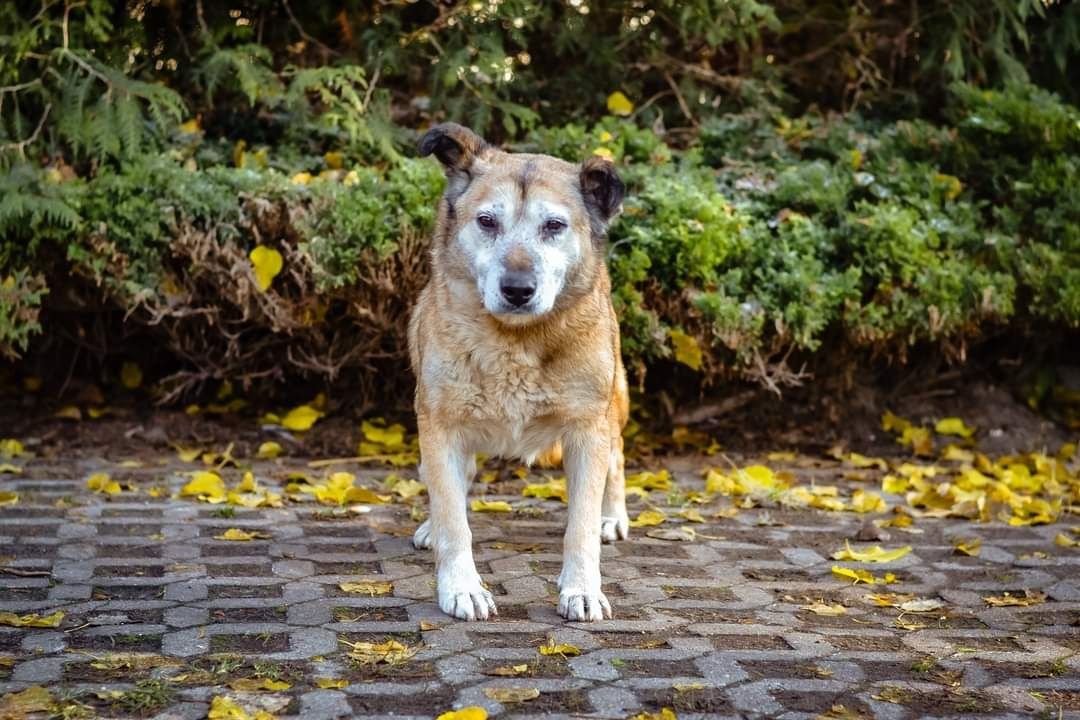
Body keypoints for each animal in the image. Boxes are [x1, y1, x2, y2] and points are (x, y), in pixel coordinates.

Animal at [406, 122, 630, 621]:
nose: (518, 289)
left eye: (555, 226)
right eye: (487, 221)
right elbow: (454, 517)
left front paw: (582, 589)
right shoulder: (439, 423)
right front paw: (462, 587)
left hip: (613, 404)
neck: (516, 342)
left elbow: (580, 526)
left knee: (618, 456)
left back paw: (613, 515)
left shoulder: (587, 429)